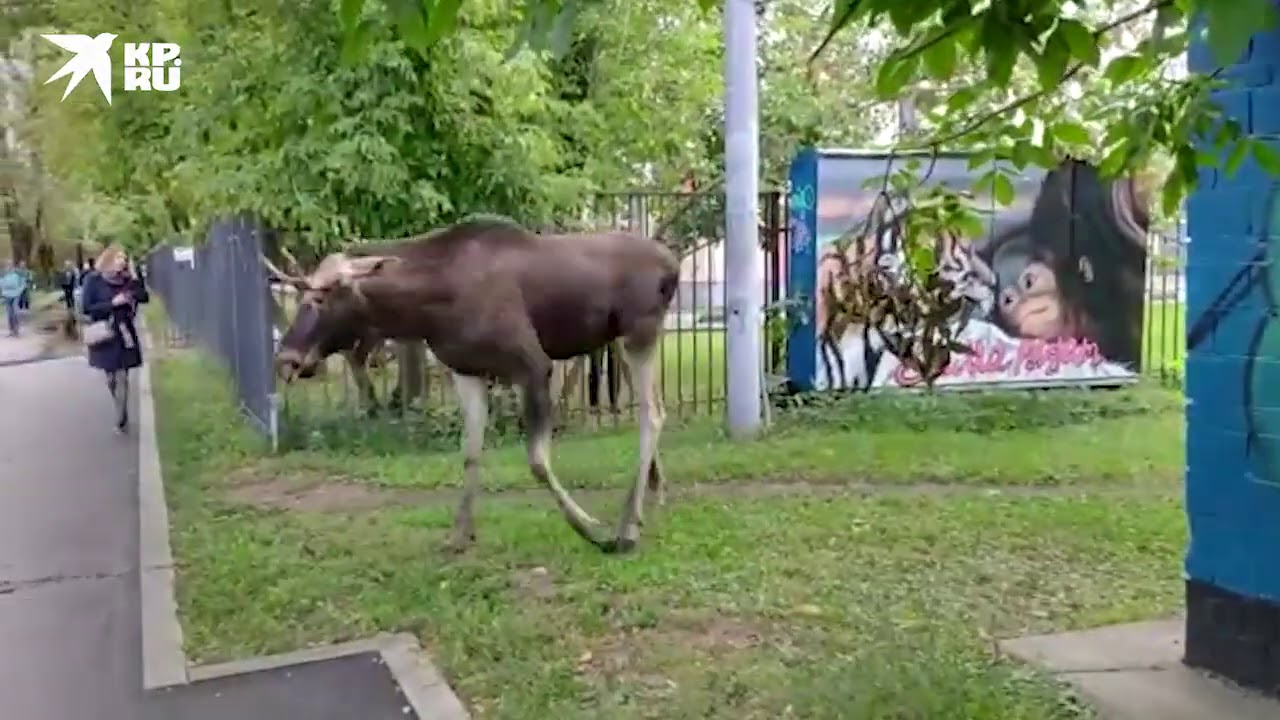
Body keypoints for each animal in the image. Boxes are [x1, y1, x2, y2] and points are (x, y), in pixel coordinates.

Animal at [267, 215, 680, 550]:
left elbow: (537, 460)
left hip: (639, 333)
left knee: (654, 413)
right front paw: (460, 533)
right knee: (650, 407)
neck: (425, 310)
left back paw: (627, 527)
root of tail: (673, 265)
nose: (287, 359)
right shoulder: (467, 372)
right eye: (301, 296)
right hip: (618, 340)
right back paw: (652, 497)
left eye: (322, 297)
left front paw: (591, 528)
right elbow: (470, 452)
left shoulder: (533, 366)